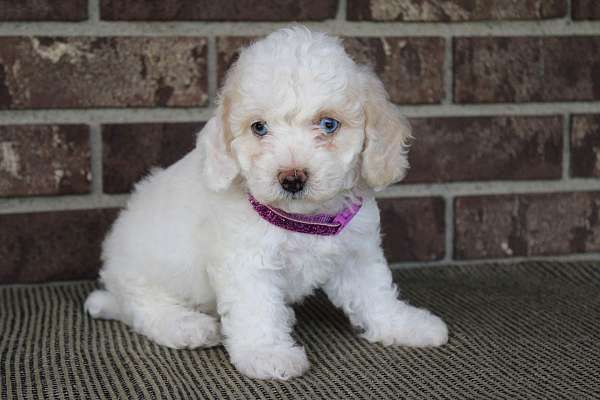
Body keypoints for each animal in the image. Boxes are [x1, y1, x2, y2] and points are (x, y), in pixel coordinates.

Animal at [86, 27, 448, 378]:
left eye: (328, 124)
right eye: (259, 127)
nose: (292, 178)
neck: (306, 219)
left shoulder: (357, 254)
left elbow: (375, 293)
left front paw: (404, 325)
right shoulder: (247, 261)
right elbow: (256, 308)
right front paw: (267, 354)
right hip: (141, 273)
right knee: (145, 309)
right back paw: (187, 325)